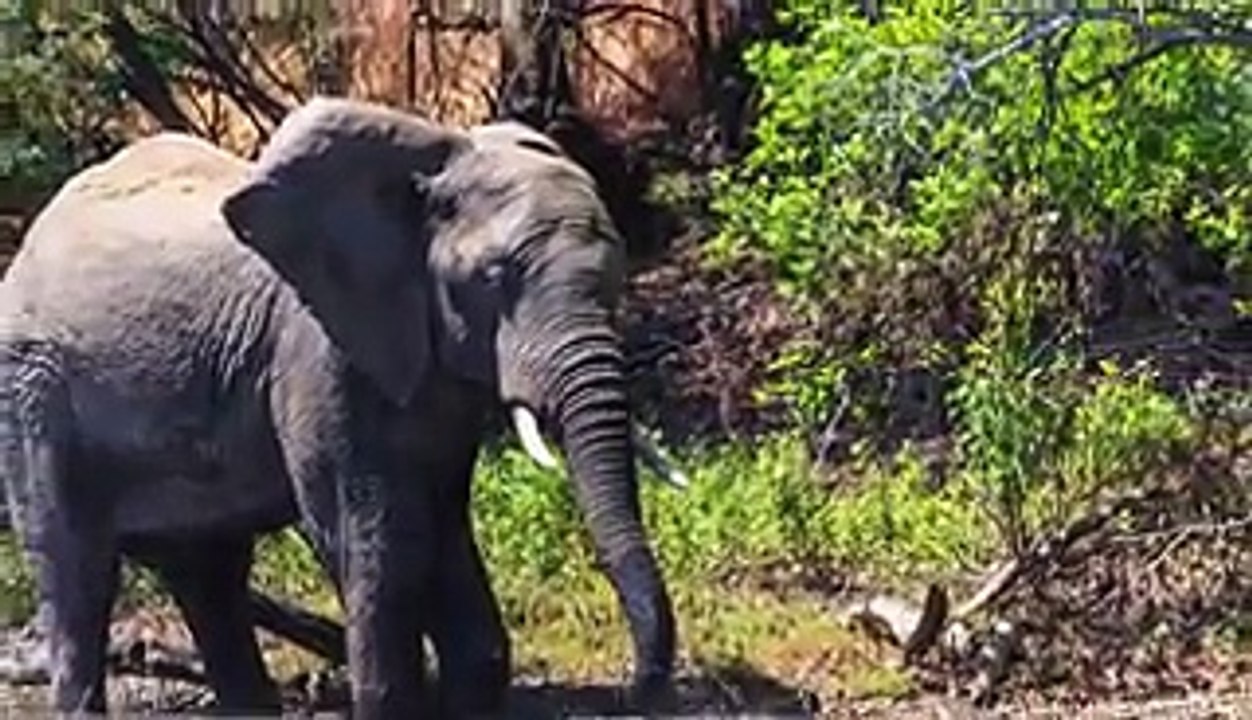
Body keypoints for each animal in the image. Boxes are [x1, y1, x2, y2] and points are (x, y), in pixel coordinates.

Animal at [0, 97, 679, 717]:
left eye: (619, 271)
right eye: (493, 278)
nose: (638, 691)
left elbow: (442, 522)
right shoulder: (316, 349)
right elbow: (379, 530)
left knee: (208, 572)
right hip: (32, 390)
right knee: (78, 570)